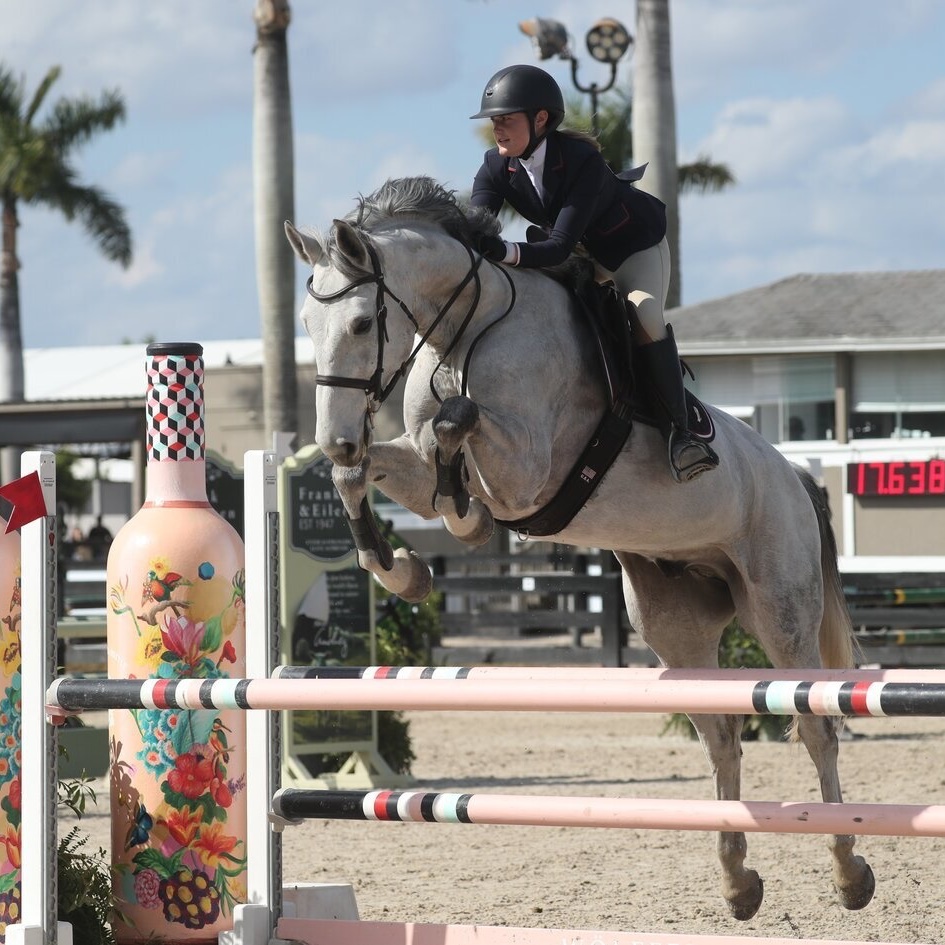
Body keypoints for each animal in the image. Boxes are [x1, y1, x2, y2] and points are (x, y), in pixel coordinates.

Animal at [285, 175, 875, 921]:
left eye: (362, 324)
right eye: (308, 327)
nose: (334, 438)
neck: (466, 328)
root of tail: (796, 475)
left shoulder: (526, 472)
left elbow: (457, 424)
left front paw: (463, 524)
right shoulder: (416, 460)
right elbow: (371, 474)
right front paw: (405, 570)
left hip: (780, 608)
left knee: (815, 726)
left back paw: (849, 870)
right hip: (674, 625)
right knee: (721, 738)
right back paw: (738, 882)